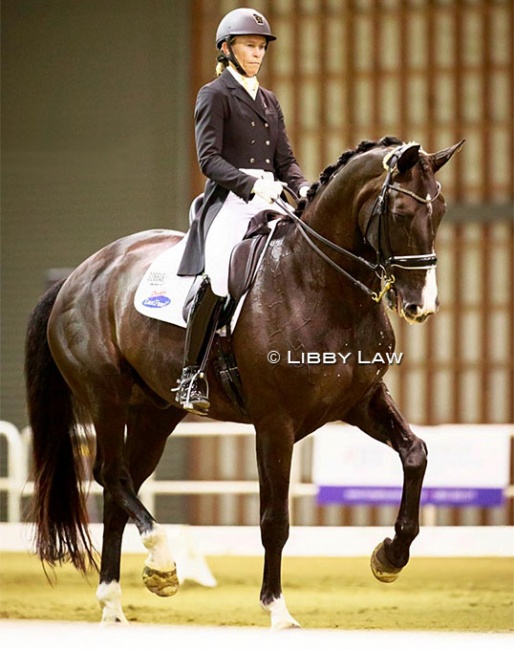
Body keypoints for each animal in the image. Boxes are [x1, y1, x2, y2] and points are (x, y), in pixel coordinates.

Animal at [25, 137, 460, 628]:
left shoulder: (362, 402)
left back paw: (117, 602)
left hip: (155, 413)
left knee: (121, 488)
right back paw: (162, 562)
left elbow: (415, 454)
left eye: (441, 210)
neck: (319, 284)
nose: (422, 305)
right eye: (402, 213)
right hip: (107, 398)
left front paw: (390, 556)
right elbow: (275, 519)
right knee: (110, 474)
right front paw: (278, 609)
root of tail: (77, 276)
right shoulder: (275, 423)